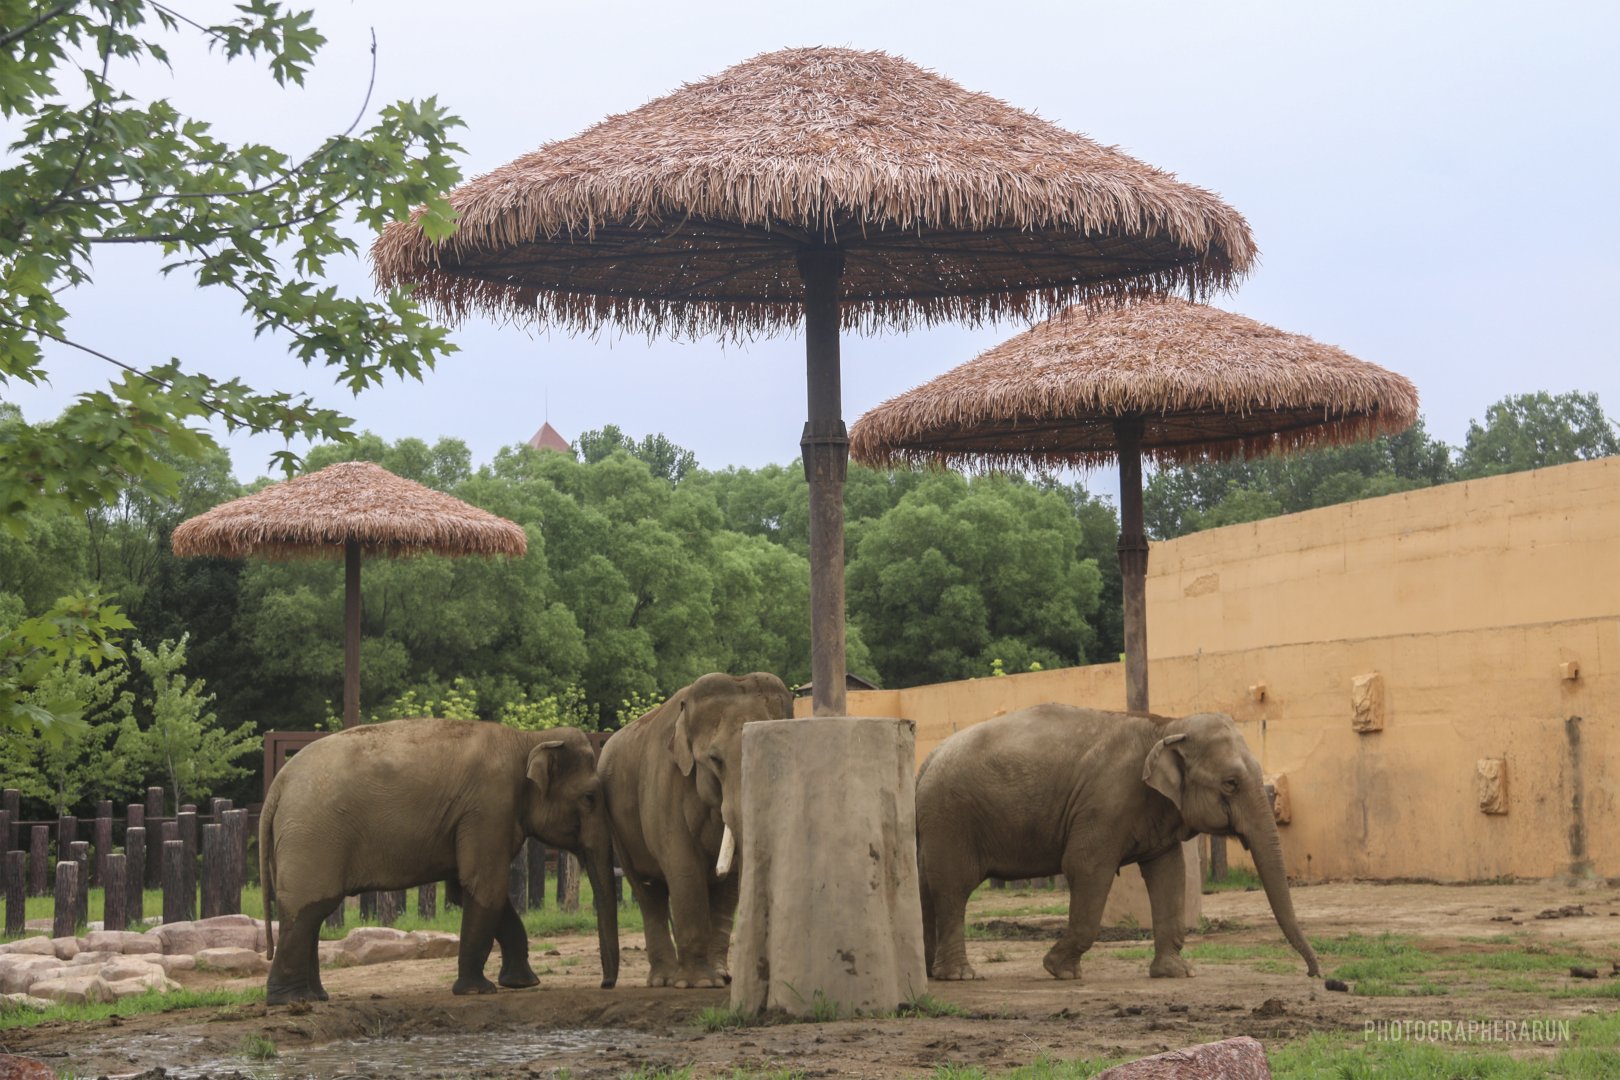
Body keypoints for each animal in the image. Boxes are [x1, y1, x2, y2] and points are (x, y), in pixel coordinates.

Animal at [260, 718, 619, 1004]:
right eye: (590, 798)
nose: (605, 984)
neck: (528, 738)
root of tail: (277, 786)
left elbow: (469, 889)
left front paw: (522, 984)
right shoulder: (489, 806)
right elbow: (486, 885)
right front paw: (478, 991)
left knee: (311, 914)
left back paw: (316, 997)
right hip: (314, 836)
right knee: (310, 910)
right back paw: (291, 1001)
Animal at [597, 671, 793, 988]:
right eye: (715, 760)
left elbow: (731, 878)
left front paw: (715, 980)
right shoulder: (664, 783)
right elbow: (683, 866)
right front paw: (698, 983)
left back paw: (716, 975)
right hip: (618, 825)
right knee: (647, 891)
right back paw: (664, 979)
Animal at [915, 704, 1319, 983]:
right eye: (1231, 783)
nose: (1316, 975)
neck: (1168, 725)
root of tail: (927, 761)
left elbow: (1170, 874)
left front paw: (1176, 973)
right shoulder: (1106, 802)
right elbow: (1085, 866)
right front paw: (1059, 970)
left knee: (925, 889)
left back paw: (931, 972)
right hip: (951, 819)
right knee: (953, 888)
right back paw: (959, 975)